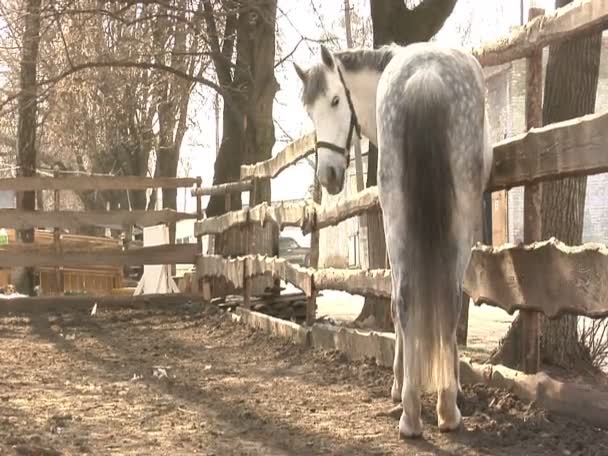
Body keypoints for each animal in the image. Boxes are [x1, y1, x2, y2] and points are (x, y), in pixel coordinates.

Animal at [296, 45, 494, 438]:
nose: (328, 175)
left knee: (404, 297)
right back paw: (444, 408)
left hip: (396, 211)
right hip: (460, 217)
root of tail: (426, 75)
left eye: (335, 100)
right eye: (310, 111)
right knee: (447, 299)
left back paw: (411, 414)